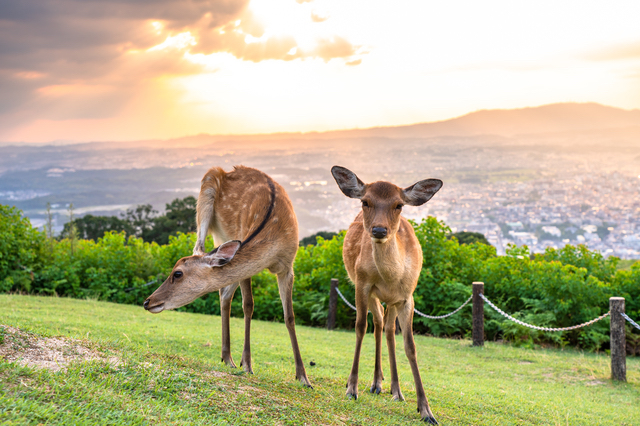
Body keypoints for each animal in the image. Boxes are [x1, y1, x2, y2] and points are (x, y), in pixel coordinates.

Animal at [146, 166, 316, 390]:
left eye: (178, 273)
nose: (148, 301)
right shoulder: (245, 249)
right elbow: (248, 305)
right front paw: (247, 364)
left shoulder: (287, 267)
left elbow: (289, 316)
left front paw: (303, 378)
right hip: (206, 204)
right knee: (200, 252)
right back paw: (229, 358)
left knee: (224, 291)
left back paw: (228, 357)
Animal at [332, 166, 442, 422]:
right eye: (365, 201)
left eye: (398, 205)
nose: (379, 230)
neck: (391, 277)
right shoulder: (362, 284)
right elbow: (360, 327)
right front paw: (351, 388)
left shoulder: (408, 297)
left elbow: (410, 345)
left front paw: (426, 410)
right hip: (373, 295)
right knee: (378, 323)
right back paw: (376, 383)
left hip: (392, 301)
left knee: (389, 329)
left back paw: (395, 389)